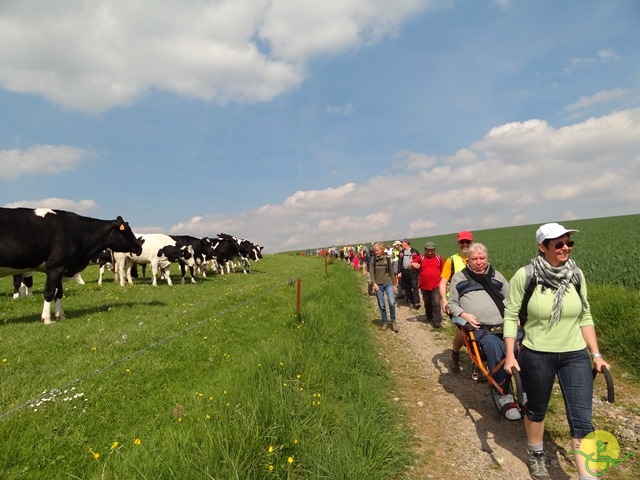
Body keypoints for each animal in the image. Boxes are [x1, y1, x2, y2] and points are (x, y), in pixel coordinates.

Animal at [0, 208, 142, 324]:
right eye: (126, 231)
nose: (139, 247)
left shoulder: (62, 267)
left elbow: (58, 293)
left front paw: (60, 316)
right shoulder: (55, 267)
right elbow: (49, 292)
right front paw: (47, 319)